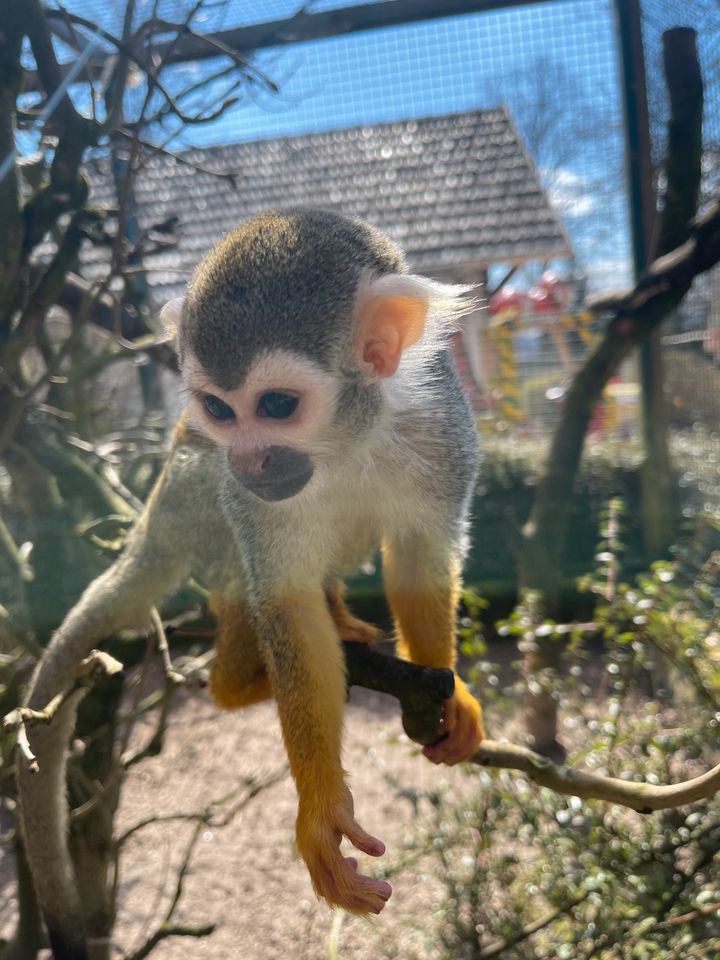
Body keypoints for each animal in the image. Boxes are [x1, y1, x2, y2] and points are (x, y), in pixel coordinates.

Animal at [160, 210, 480, 916]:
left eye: (277, 405)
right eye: (219, 408)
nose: (247, 459)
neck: (347, 437)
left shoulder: (440, 429)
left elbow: (420, 558)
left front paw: (448, 692)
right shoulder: (247, 488)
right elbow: (288, 604)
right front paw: (322, 811)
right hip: (200, 491)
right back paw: (244, 685)